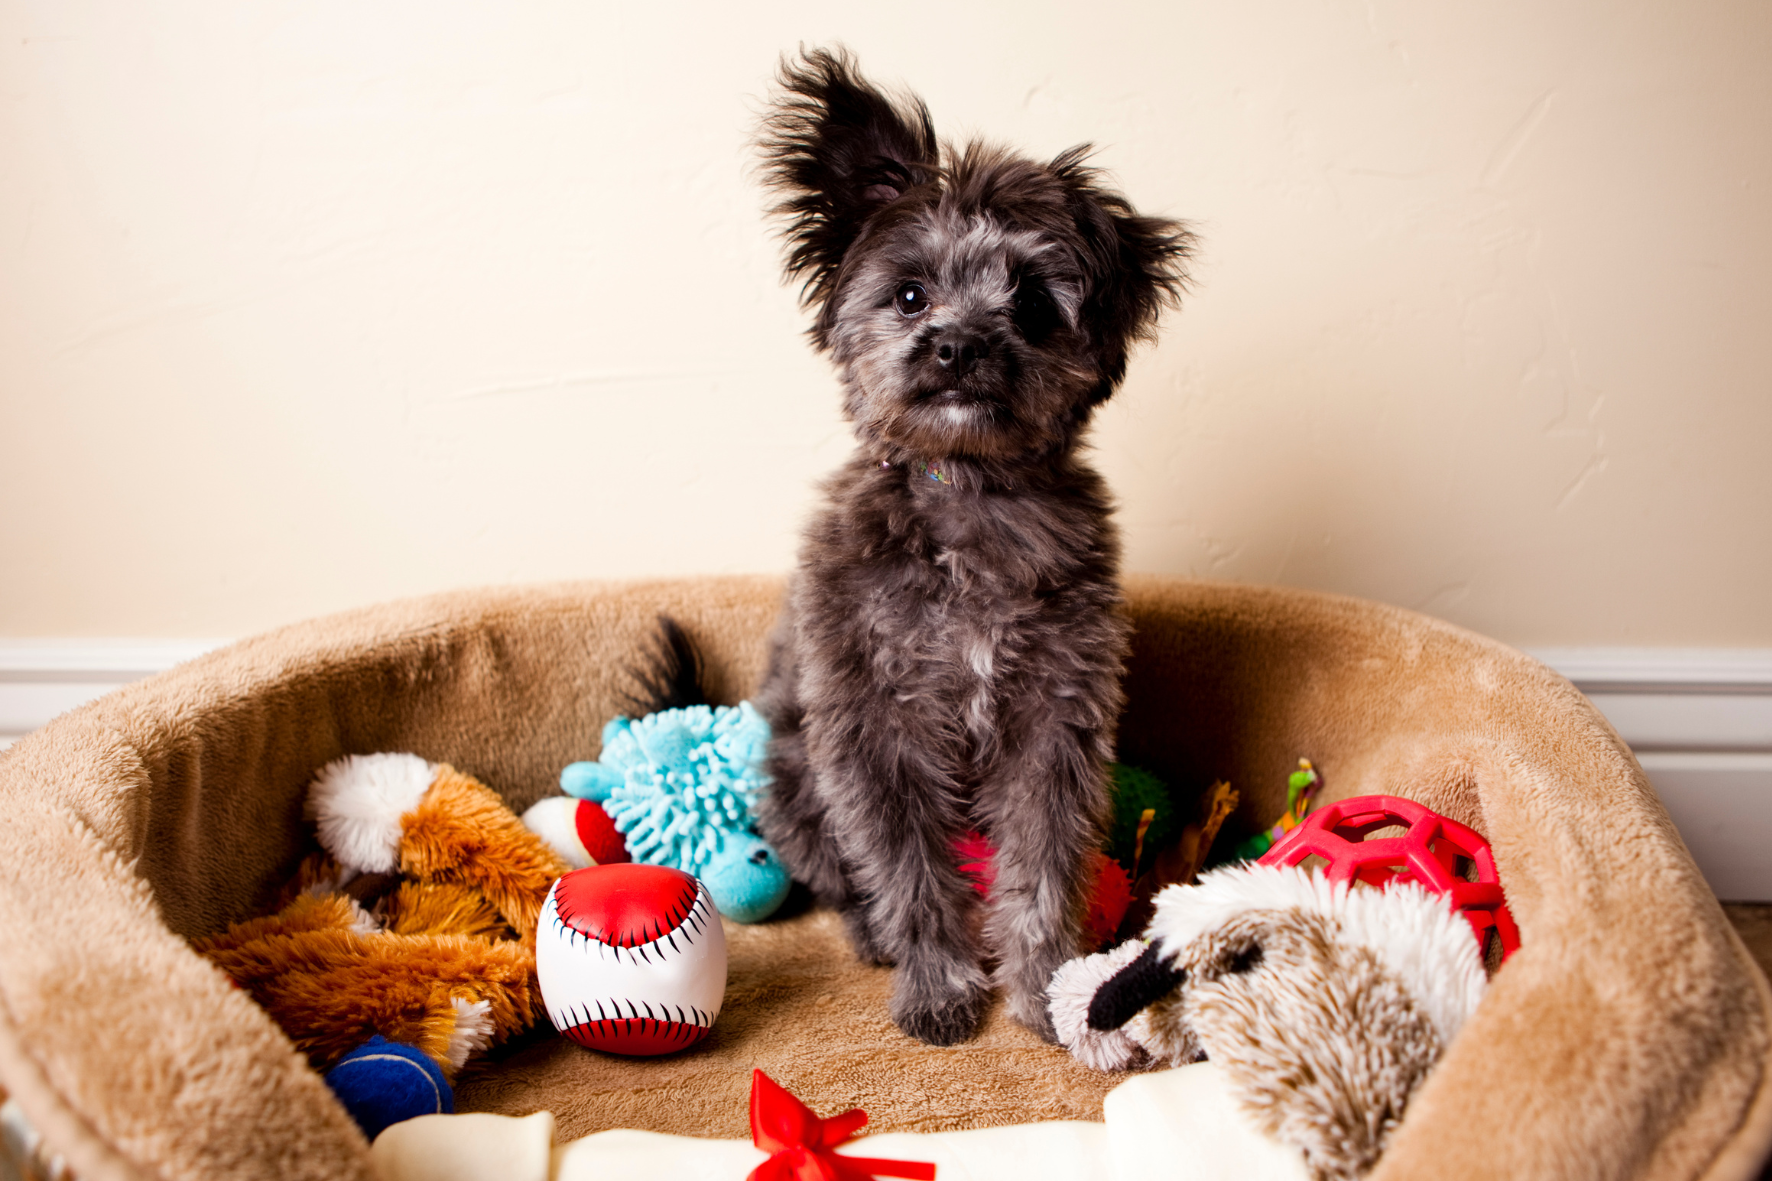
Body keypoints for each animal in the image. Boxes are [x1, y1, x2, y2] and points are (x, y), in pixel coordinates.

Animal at [751, 48, 1190, 1042]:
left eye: (1030, 303)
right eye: (910, 294)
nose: (955, 346)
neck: (971, 499)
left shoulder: (1054, 721)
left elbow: (1045, 863)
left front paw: (1044, 986)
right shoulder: (879, 730)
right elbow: (909, 870)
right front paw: (941, 983)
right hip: (796, 782)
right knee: (845, 877)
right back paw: (872, 936)